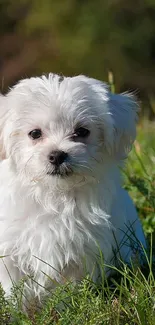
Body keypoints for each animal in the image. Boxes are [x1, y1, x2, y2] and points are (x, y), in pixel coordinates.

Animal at [0, 73, 145, 298]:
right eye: (34, 133)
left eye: (82, 131)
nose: (57, 155)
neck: (55, 194)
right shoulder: (11, 250)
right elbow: (15, 290)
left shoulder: (83, 251)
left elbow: (69, 290)